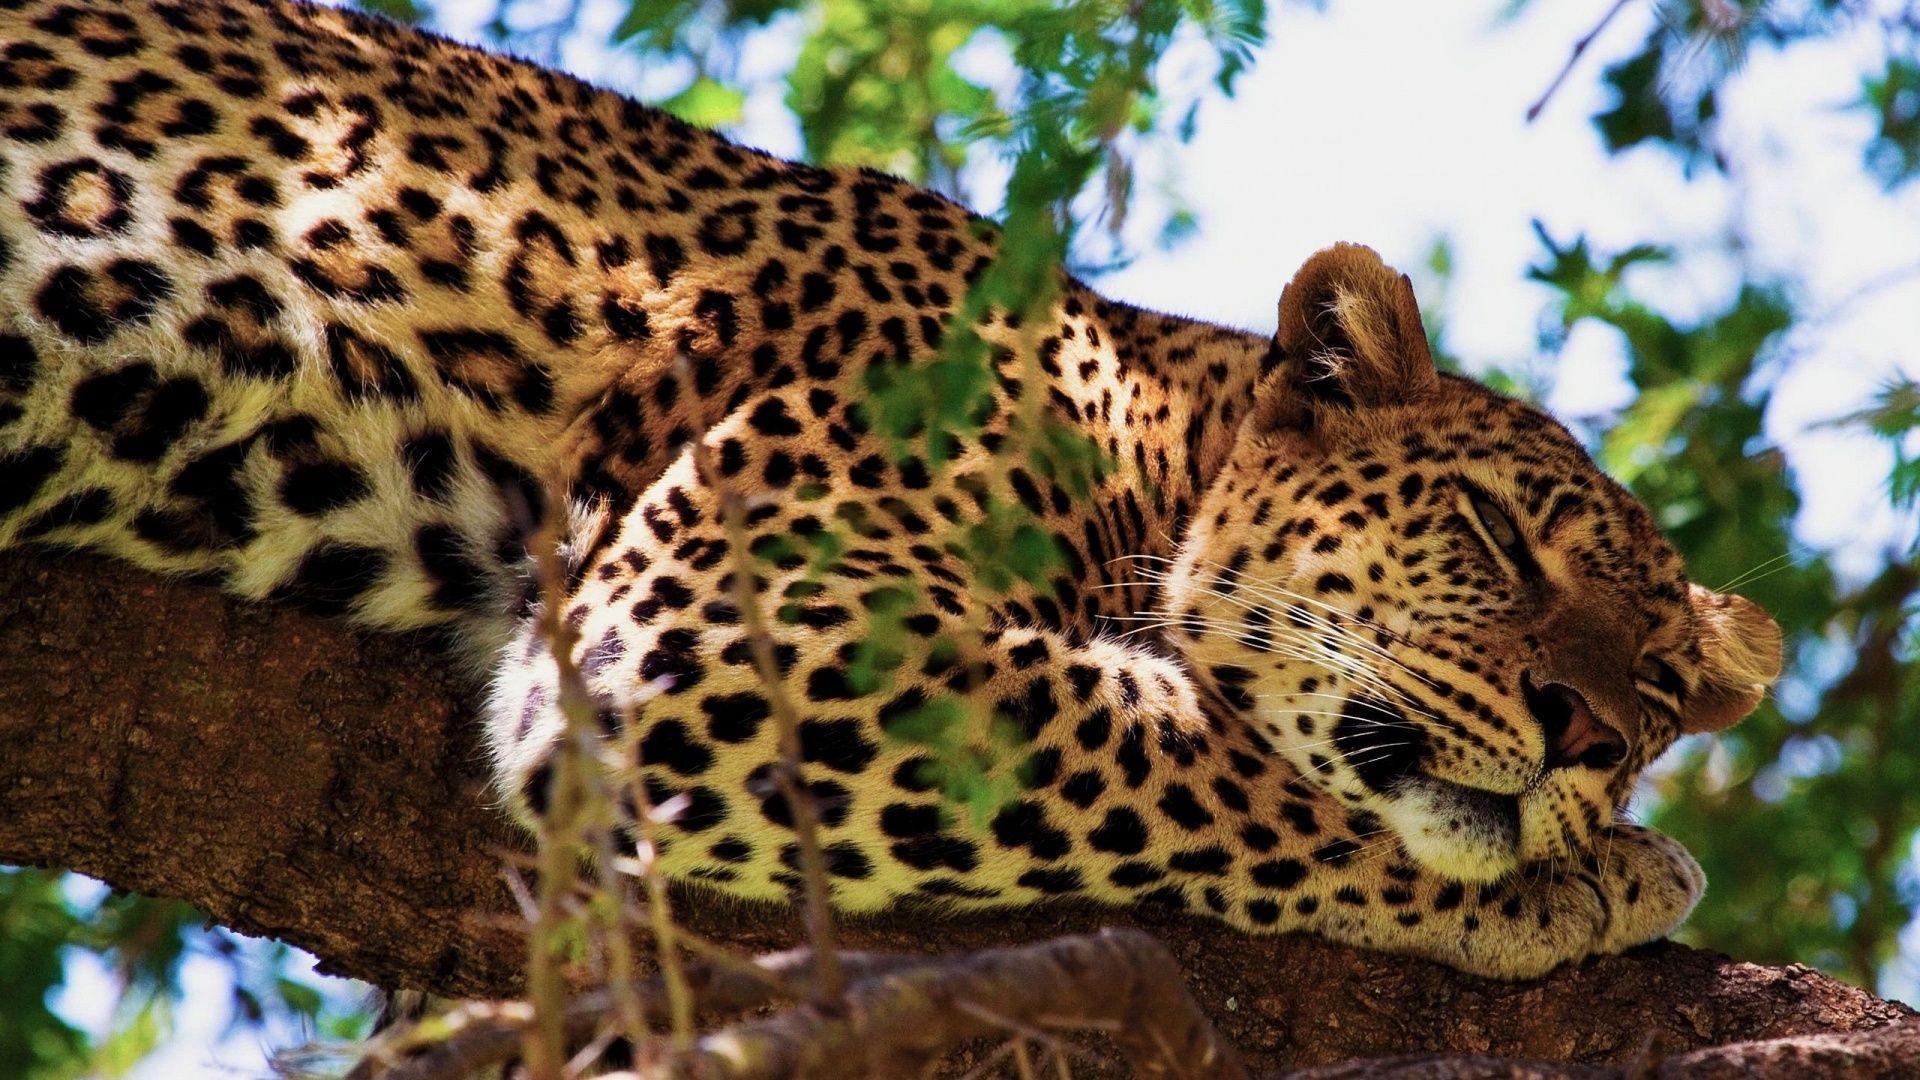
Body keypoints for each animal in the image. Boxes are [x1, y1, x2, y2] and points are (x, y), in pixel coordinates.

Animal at [0, 0, 1782, 980]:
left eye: (1666, 690)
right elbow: (1193, 753)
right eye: (1493, 537)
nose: (1592, 739)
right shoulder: (732, 618)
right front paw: (1584, 880)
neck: (1145, 432)